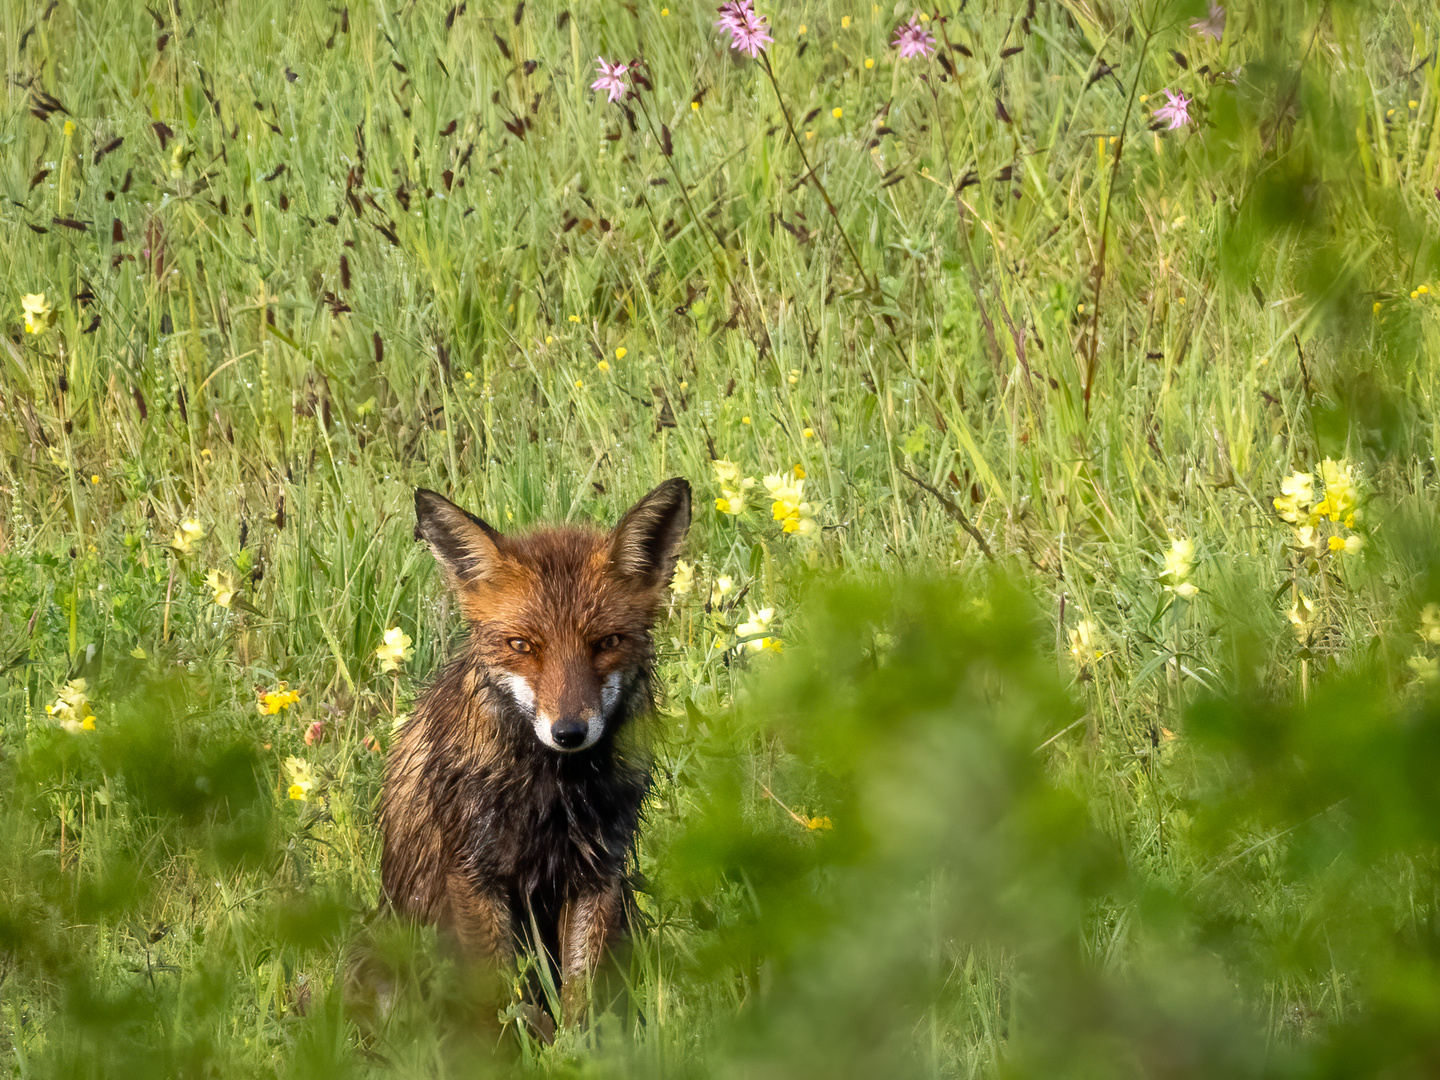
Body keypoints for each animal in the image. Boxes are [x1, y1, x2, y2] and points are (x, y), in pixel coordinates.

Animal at [380, 480, 694, 1031]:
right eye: (522, 645)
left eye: (607, 642)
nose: (569, 733)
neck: (554, 794)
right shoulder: (473, 875)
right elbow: (496, 1002)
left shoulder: (599, 871)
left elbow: (580, 1000)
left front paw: (580, 1046)